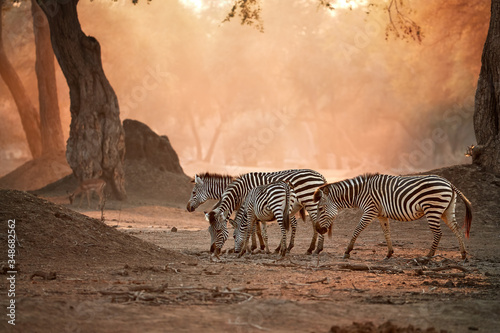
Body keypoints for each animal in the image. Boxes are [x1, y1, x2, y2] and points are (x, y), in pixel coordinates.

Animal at [312, 172, 472, 260]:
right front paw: (389, 253)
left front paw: (347, 251)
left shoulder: (370, 210)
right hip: (446, 211)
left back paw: (428, 256)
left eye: (320, 208)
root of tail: (449, 183)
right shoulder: (381, 214)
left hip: (432, 209)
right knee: (457, 229)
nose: (319, 230)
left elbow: (357, 229)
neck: (359, 193)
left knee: (438, 233)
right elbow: (386, 232)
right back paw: (463, 254)